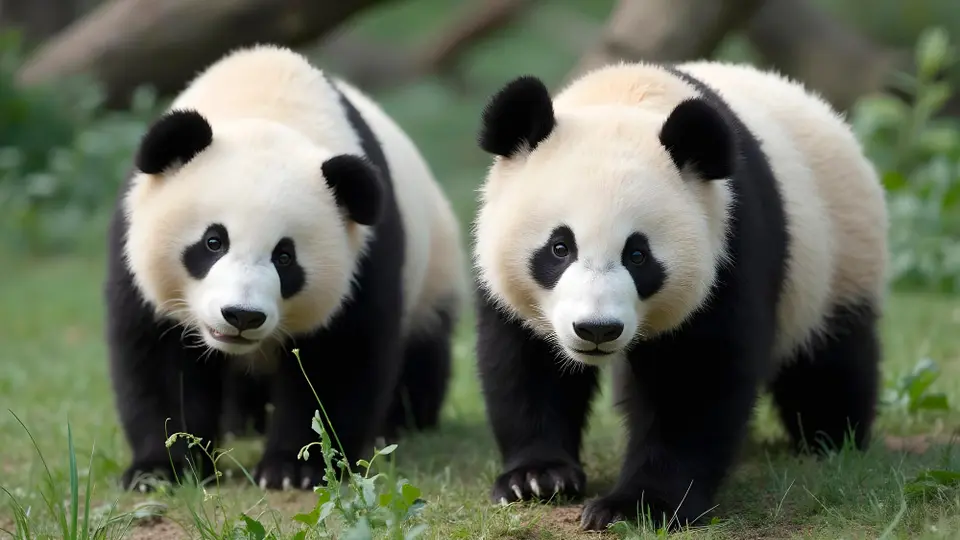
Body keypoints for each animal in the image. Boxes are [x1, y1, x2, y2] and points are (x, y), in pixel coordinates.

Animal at [104, 44, 468, 491]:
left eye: (284, 257)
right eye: (213, 242)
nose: (241, 316)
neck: (266, 101)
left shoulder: (365, 253)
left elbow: (337, 358)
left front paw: (294, 469)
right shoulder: (135, 241)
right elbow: (160, 358)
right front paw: (161, 470)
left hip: (434, 267)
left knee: (423, 349)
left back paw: (398, 423)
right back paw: (242, 422)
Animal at [472, 60, 888, 531]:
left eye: (638, 254)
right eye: (560, 248)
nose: (596, 329)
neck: (623, 96)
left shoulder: (728, 242)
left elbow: (695, 377)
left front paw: (640, 505)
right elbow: (524, 363)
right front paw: (537, 479)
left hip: (839, 258)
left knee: (830, 360)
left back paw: (830, 437)